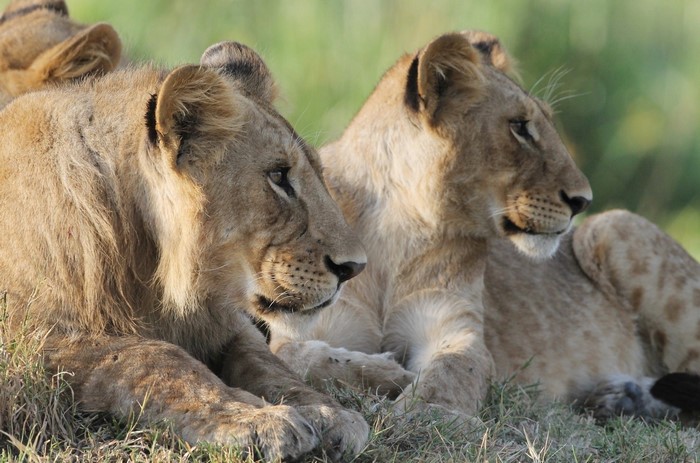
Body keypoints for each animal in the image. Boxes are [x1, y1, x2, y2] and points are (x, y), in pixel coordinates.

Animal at [0, 40, 369, 461]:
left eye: (319, 173)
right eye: (278, 175)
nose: (354, 267)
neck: (143, 266)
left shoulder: (221, 324)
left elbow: (268, 364)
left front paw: (327, 412)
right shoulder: (27, 343)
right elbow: (156, 358)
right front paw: (255, 419)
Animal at [268, 30, 700, 420]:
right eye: (520, 126)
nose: (583, 200)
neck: (394, 228)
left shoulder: (457, 326)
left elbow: (454, 370)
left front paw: (427, 414)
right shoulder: (304, 322)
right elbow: (296, 357)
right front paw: (388, 373)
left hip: (613, 226)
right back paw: (620, 398)